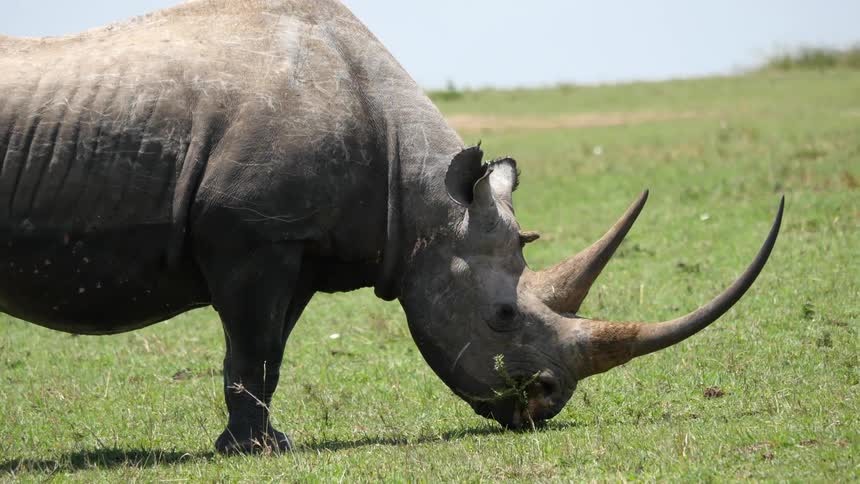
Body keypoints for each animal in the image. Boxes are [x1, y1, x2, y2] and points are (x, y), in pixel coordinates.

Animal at [0, 0, 782, 453]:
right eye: (503, 316)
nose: (544, 402)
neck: (423, 196)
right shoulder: (252, 234)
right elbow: (249, 347)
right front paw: (254, 453)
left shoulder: (299, 244)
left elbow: (269, 352)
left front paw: (264, 441)